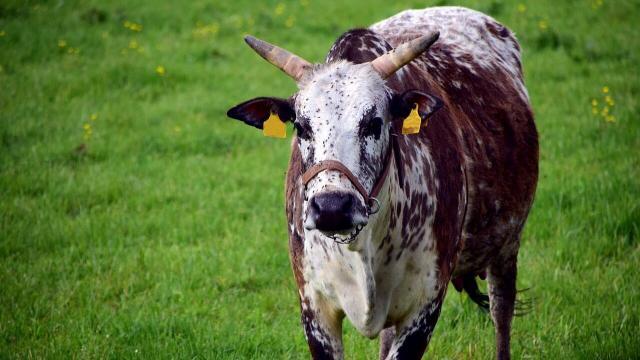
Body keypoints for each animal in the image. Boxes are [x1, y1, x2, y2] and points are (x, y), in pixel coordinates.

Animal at [228, 5, 536, 360]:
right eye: (301, 127)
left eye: (374, 123)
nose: (332, 207)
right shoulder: (315, 310)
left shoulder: (424, 308)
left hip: (507, 245)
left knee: (502, 311)